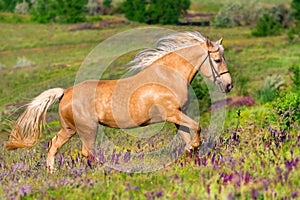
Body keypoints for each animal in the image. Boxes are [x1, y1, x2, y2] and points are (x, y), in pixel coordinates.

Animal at [5, 30, 233, 173]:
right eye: (217, 60)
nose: (229, 85)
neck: (167, 77)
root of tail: (65, 92)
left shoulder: (177, 116)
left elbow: (188, 136)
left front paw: (192, 157)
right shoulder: (172, 114)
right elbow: (196, 128)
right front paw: (194, 149)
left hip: (69, 129)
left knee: (53, 145)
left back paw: (52, 173)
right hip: (88, 128)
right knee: (87, 152)